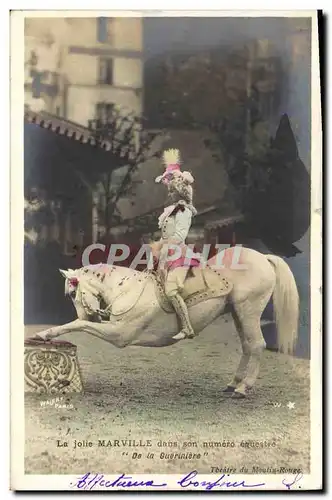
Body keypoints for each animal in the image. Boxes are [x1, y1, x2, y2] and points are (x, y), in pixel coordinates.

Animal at [31, 247, 300, 398]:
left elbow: (77, 325)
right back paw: (233, 384)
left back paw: (244, 389)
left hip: (248, 311)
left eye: (71, 293)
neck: (126, 288)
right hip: (237, 314)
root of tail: (263, 258)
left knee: (256, 345)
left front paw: (44, 334)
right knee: (247, 347)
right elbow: (78, 325)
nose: (91, 314)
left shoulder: (119, 334)